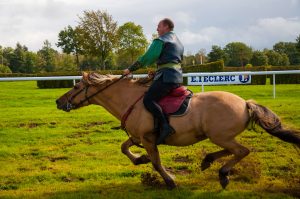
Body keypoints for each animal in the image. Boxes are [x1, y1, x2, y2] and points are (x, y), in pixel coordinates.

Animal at [55, 72, 298, 190]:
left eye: (76, 87)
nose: (59, 101)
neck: (131, 100)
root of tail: (245, 103)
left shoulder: (149, 139)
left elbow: (156, 163)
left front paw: (170, 181)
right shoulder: (139, 136)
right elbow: (124, 148)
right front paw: (139, 159)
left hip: (220, 136)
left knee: (242, 151)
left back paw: (222, 173)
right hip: (220, 137)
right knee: (234, 151)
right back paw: (208, 161)